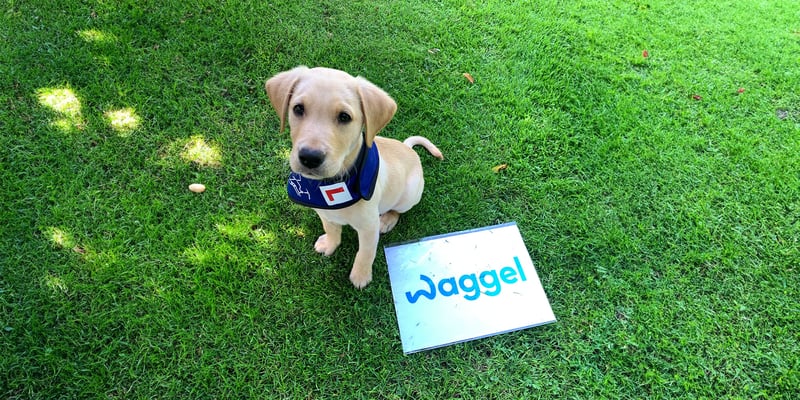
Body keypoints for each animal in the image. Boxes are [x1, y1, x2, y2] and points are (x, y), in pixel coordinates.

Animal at [268, 67, 444, 290]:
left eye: (344, 117)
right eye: (298, 109)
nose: (309, 157)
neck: (335, 181)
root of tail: (408, 148)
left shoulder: (369, 227)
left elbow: (366, 253)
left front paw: (360, 276)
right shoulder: (325, 214)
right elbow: (332, 230)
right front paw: (330, 244)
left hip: (409, 196)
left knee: (398, 210)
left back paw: (388, 220)